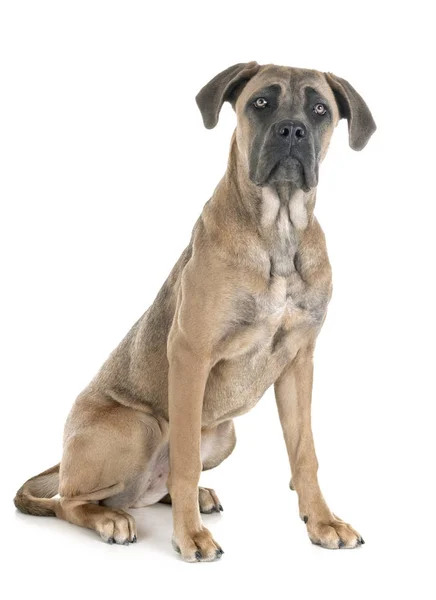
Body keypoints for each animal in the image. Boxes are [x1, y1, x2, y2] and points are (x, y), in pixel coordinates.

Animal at [13, 63, 374, 560]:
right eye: (261, 102)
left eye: (320, 109)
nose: (292, 130)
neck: (279, 232)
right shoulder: (190, 355)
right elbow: (185, 459)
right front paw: (190, 536)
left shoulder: (299, 363)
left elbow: (305, 454)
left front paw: (322, 522)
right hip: (138, 425)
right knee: (71, 501)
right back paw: (111, 518)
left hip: (224, 433)